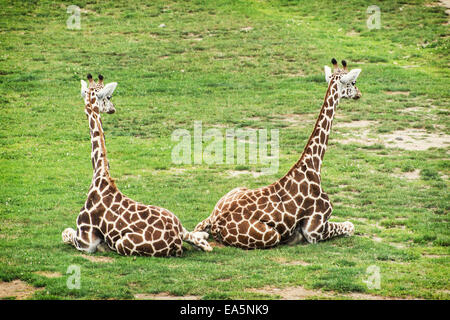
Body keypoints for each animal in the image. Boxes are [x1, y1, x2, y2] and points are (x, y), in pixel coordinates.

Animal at [61, 75, 213, 258]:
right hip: (176, 219)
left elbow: (65, 233)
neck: (99, 175)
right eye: (109, 97)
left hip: (122, 244)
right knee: (203, 243)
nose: (113, 109)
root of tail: (176, 240)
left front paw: (103, 246)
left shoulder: (85, 242)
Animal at [195, 60, 364, 250]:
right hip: (272, 236)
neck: (314, 166)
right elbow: (350, 226)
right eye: (353, 82)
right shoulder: (315, 231)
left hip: (229, 196)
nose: (359, 94)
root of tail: (216, 223)